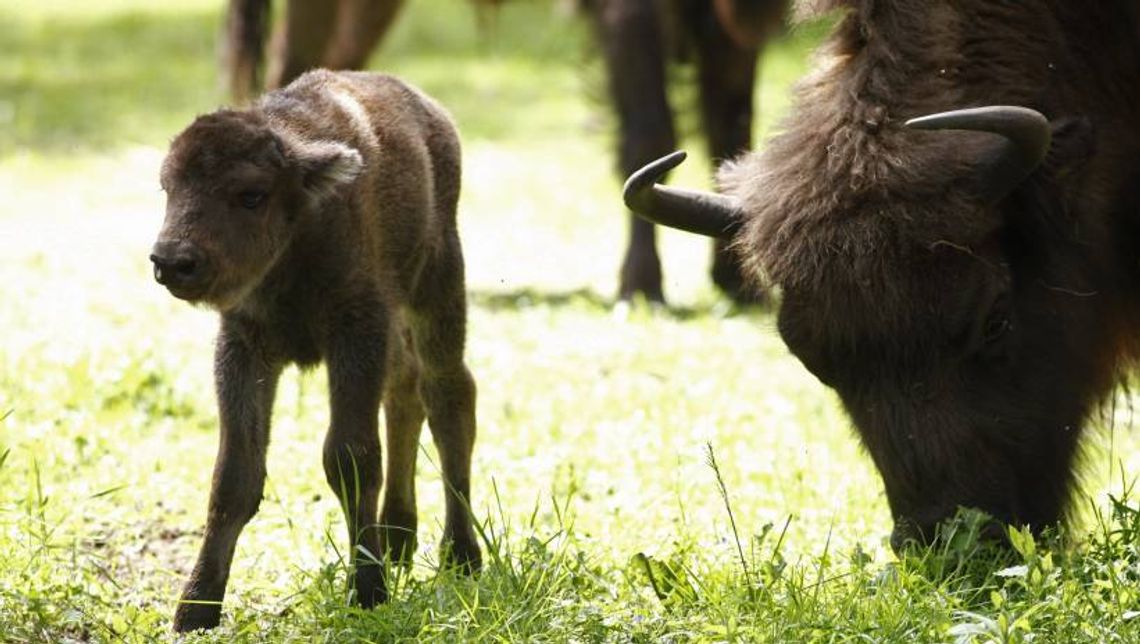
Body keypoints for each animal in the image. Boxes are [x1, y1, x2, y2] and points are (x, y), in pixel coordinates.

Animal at [149, 67, 478, 629]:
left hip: (436, 285)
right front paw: (195, 607)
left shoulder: (357, 333)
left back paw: (461, 555)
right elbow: (234, 475)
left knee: (448, 396)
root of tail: (431, 111)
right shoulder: (245, 347)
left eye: (251, 194)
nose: (172, 261)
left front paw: (368, 592)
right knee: (405, 392)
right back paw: (398, 538)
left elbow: (350, 458)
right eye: (169, 187)